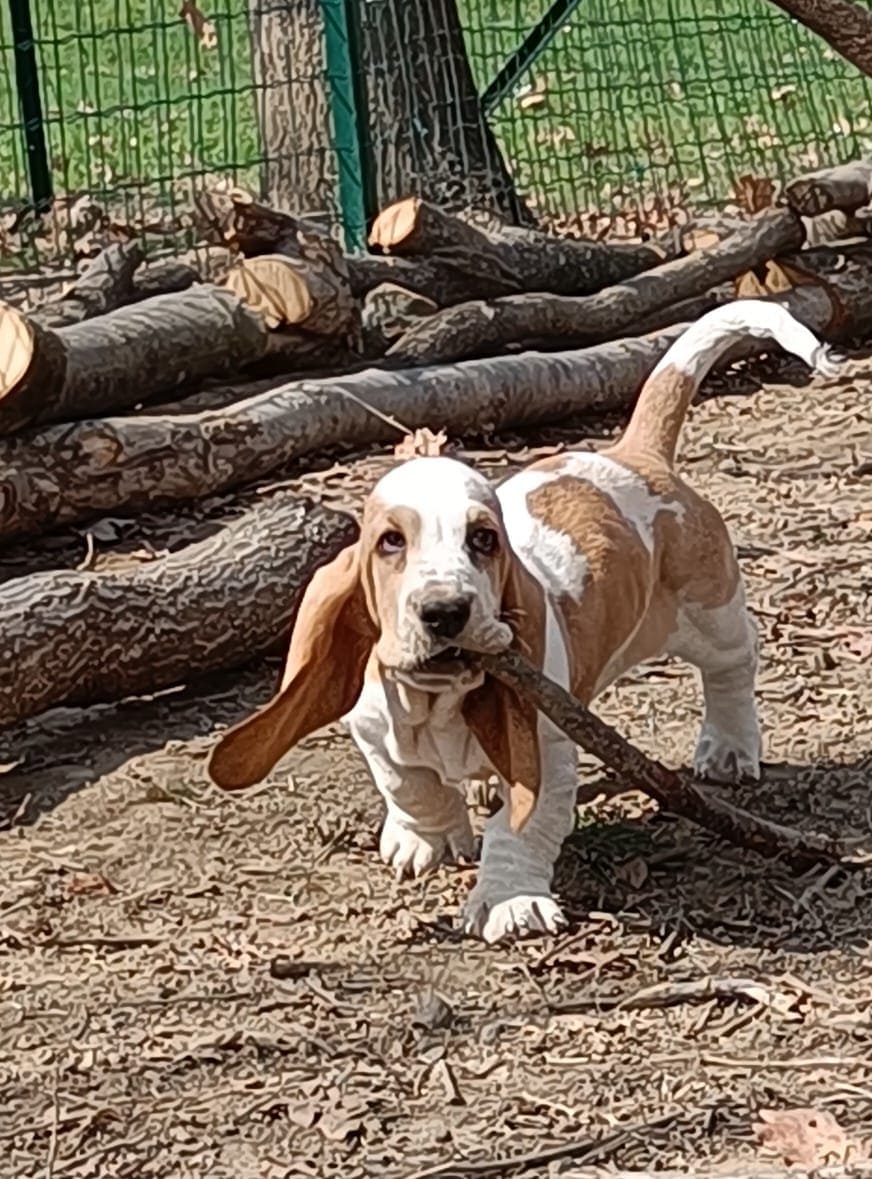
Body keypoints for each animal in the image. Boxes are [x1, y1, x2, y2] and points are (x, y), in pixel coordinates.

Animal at [206, 301, 839, 938]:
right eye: (390, 542)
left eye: (484, 539)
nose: (444, 611)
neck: (438, 704)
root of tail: (633, 455)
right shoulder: (373, 729)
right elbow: (409, 783)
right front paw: (423, 841)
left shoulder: (548, 754)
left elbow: (519, 827)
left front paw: (509, 903)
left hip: (709, 614)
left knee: (733, 666)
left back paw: (728, 748)